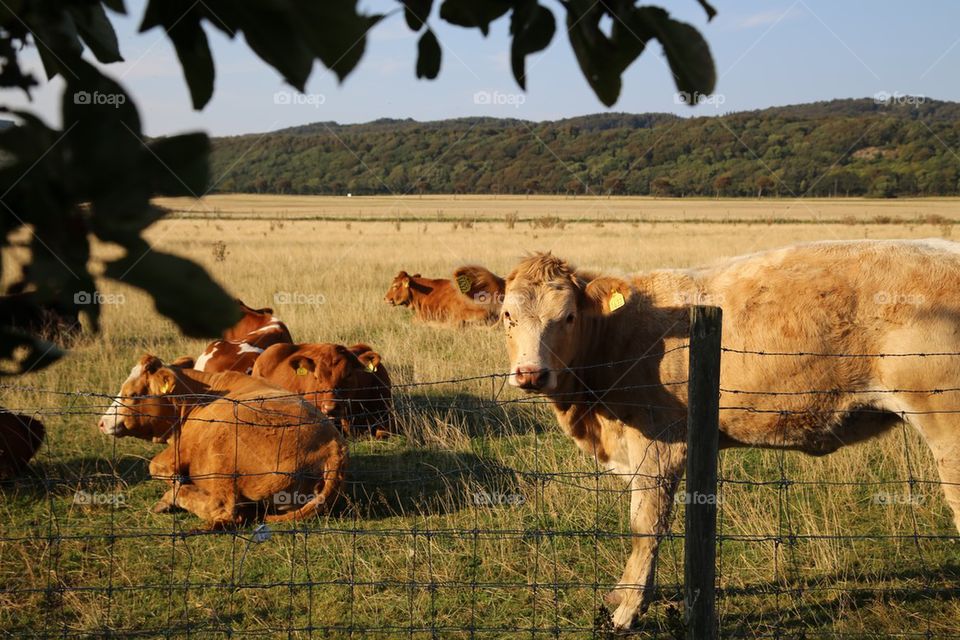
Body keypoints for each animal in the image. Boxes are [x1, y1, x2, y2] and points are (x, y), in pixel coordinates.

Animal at [97, 354, 347, 527]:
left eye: (132, 394)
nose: (102, 422)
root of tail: (333, 445)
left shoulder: (181, 450)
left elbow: (156, 467)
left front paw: (176, 485)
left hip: (223, 455)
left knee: (224, 510)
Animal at [500, 241, 960, 630]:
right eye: (508, 315)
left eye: (568, 317)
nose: (531, 373)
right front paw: (622, 596)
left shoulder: (659, 441)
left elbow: (645, 525)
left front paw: (627, 612)